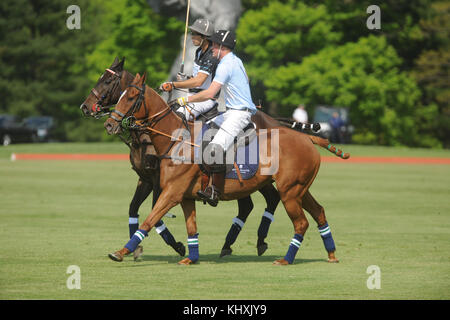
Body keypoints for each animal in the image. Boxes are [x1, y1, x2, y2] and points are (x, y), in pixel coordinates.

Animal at [103, 73, 348, 264]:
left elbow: (149, 220)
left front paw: (121, 252)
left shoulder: (172, 192)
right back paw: (331, 254)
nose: (109, 124)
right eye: (120, 95)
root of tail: (308, 138)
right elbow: (191, 227)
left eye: (131, 97)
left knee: (300, 222)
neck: (176, 139)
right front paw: (190, 257)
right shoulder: (185, 196)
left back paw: (286, 259)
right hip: (300, 189)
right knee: (319, 212)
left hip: (290, 190)